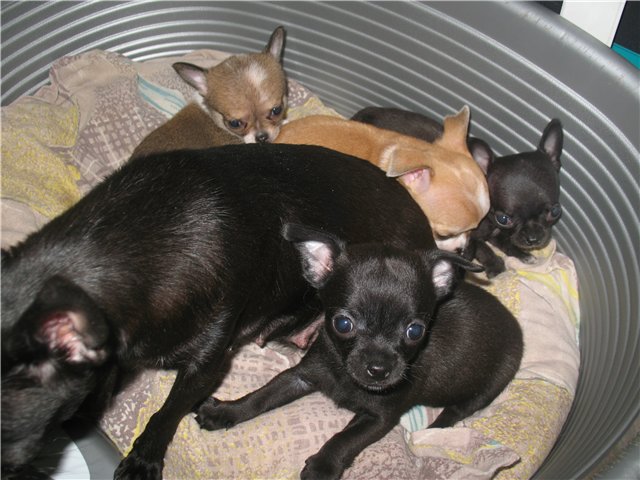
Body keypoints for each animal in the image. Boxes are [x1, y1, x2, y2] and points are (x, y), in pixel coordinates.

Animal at [195, 223, 524, 480]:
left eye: (415, 331)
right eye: (343, 324)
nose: (378, 369)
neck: (343, 372)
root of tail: (513, 323)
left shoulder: (379, 417)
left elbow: (345, 439)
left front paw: (322, 466)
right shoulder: (302, 376)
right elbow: (262, 396)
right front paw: (226, 411)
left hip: (490, 385)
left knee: (459, 409)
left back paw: (435, 429)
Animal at [464, 119, 564, 277]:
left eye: (555, 212)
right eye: (503, 219)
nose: (533, 238)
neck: (491, 223)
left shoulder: (498, 234)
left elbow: (507, 243)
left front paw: (524, 255)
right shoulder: (473, 236)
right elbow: (483, 248)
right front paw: (496, 266)